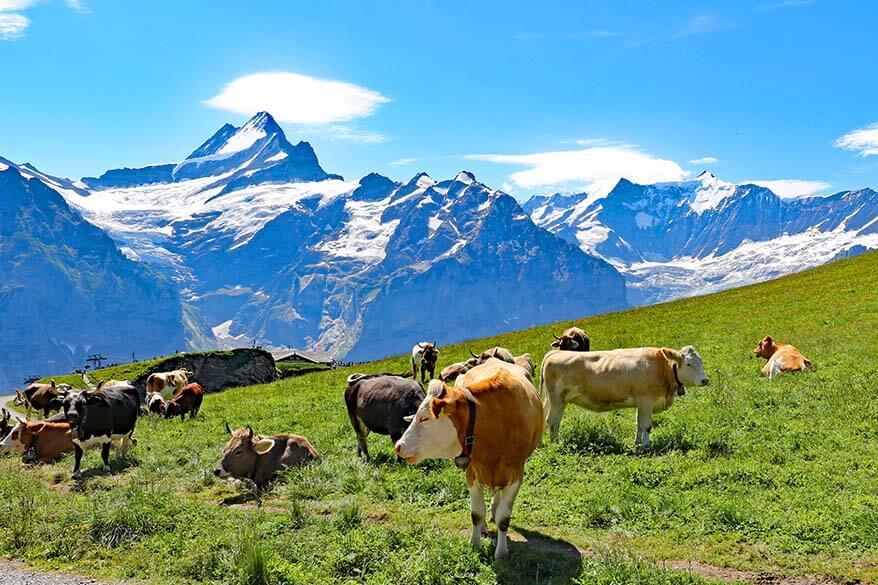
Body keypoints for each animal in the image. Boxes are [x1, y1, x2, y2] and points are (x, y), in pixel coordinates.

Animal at [398, 358, 544, 560]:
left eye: (424, 418)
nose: (399, 446)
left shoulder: (516, 474)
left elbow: (504, 519)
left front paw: (501, 552)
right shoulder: (472, 471)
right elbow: (476, 513)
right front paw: (475, 544)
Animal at [540, 346, 712, 448]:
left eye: (701, 361)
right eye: (689, 364)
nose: (705, 380)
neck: (662, 368)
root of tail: (555, 353)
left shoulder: (641, 403)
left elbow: (639, 424)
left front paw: (637, 443)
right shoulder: (646, 400)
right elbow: (646, 426)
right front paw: (647, 446)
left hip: (553, 400)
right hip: (557, 399)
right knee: (552, 421)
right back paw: (555, 444)